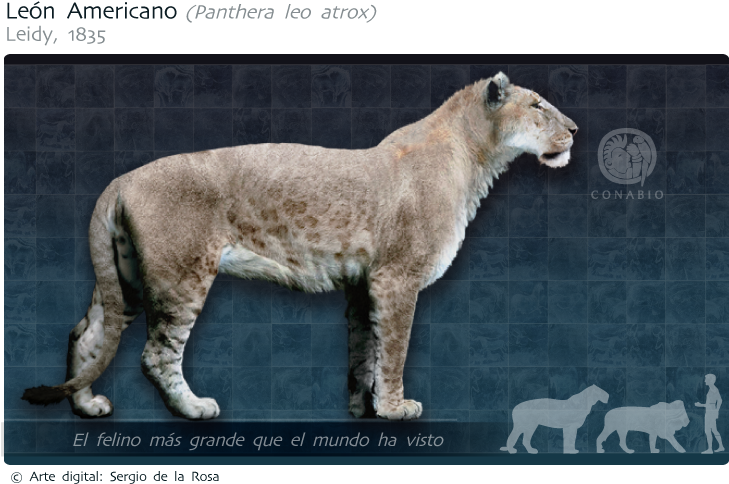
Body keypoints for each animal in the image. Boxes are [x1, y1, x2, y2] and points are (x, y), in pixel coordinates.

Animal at [22, 72, 577, 420]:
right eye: (537, 106)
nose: (574, 129)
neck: (476, 158)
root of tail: (120, 178)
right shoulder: (396, 278)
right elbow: (394, 350)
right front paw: (396, 409)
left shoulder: (363, 283)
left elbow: (364, 351)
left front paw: (362, 408)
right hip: (181, 276)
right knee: (156, 354)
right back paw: (196, 409)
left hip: (127, 276)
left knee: (87, 334)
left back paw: (88, 406)